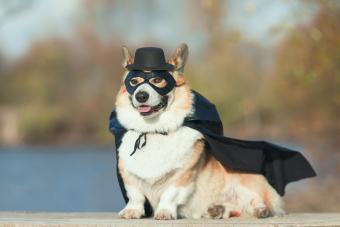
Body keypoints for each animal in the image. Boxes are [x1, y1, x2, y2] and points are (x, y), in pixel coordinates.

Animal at [114, 43, 284, 219]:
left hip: (246, 181)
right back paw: (218, 210)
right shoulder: (128, 175)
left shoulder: (182, 175)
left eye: (157, 80)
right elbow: (135, 195)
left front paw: (165, 212)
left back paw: (261, 210)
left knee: (258, 201)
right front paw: (131, 211)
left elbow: (169, 194)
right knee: (236, 209)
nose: (141, 96)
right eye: (133, 81)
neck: (153, 130)